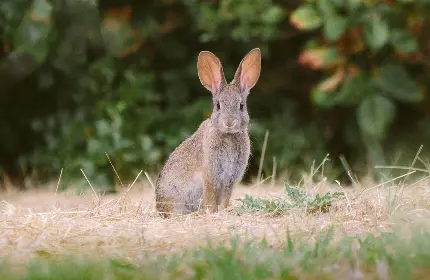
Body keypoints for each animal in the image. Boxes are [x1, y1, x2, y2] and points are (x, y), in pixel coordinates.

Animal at [155, 48, 262, 218]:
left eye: (241, 106)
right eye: (218, 105)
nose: (229, 123)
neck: (227, 135)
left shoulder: (228, 181)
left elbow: (225, 198)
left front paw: (223, 211)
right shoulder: (209, 176)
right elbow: (211, 197)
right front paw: (212, 213)